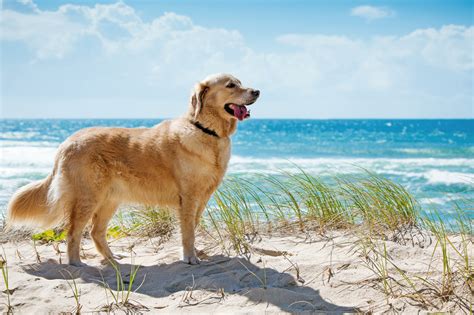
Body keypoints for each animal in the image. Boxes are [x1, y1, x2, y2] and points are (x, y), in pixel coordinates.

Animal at [6, 73, 260, 266]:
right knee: (73, 232)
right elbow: (188, 231)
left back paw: (112, 259)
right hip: (88, 197)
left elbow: (193, 228)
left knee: (95, 232)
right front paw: (190, 258)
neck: (206, 130)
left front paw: (194, 253)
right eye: (231, 85)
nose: (257, 91)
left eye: (241, 81)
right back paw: (76, 263)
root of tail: (67, 141)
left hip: (110, 199)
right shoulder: (188, 198)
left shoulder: (201, 198)